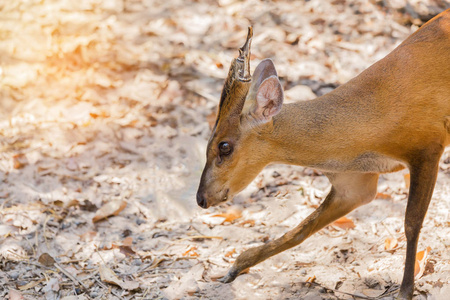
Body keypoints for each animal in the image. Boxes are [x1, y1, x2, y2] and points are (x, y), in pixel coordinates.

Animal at [197, 9, 450, 300]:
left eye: (224, 146)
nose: (201, 198)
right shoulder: (355, 183)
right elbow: (303, 229)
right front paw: (235, 267)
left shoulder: (428, 146)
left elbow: (412, 222)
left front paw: (405, 291)